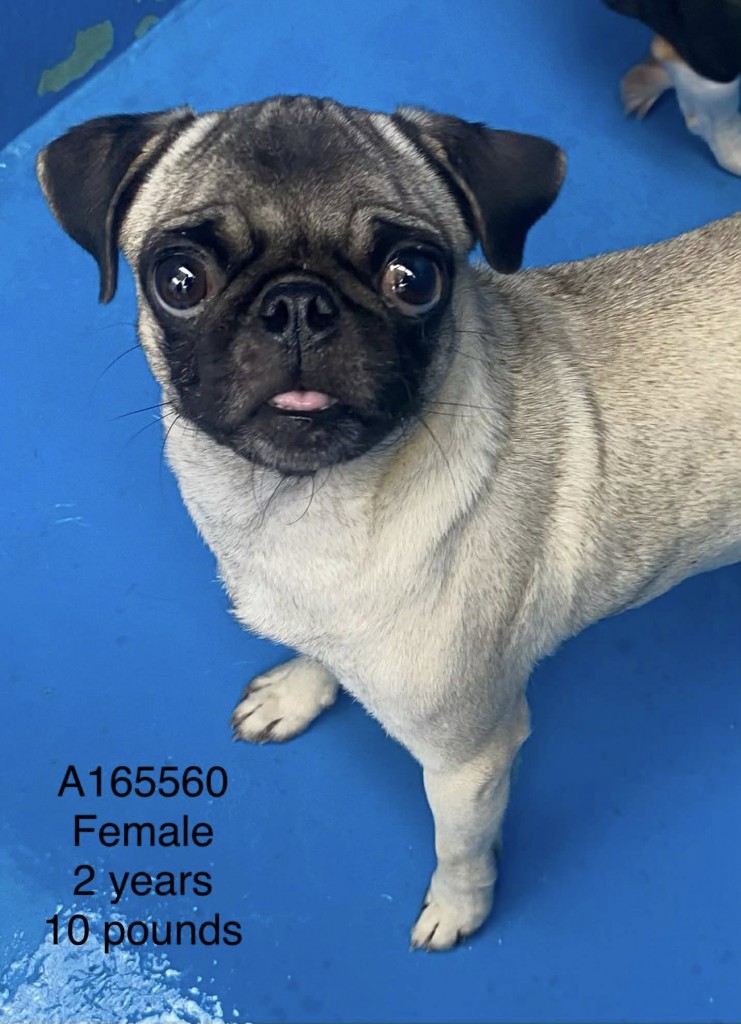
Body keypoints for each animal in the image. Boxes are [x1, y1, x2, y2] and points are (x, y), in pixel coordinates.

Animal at [36, 95, 741, 950]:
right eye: (178, 279)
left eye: (414, 277)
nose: (296, 305)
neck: (303, 506)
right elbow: (319, 651)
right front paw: (299, 689)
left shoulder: (469, 761)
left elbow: (459, 847)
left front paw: (458, 907)